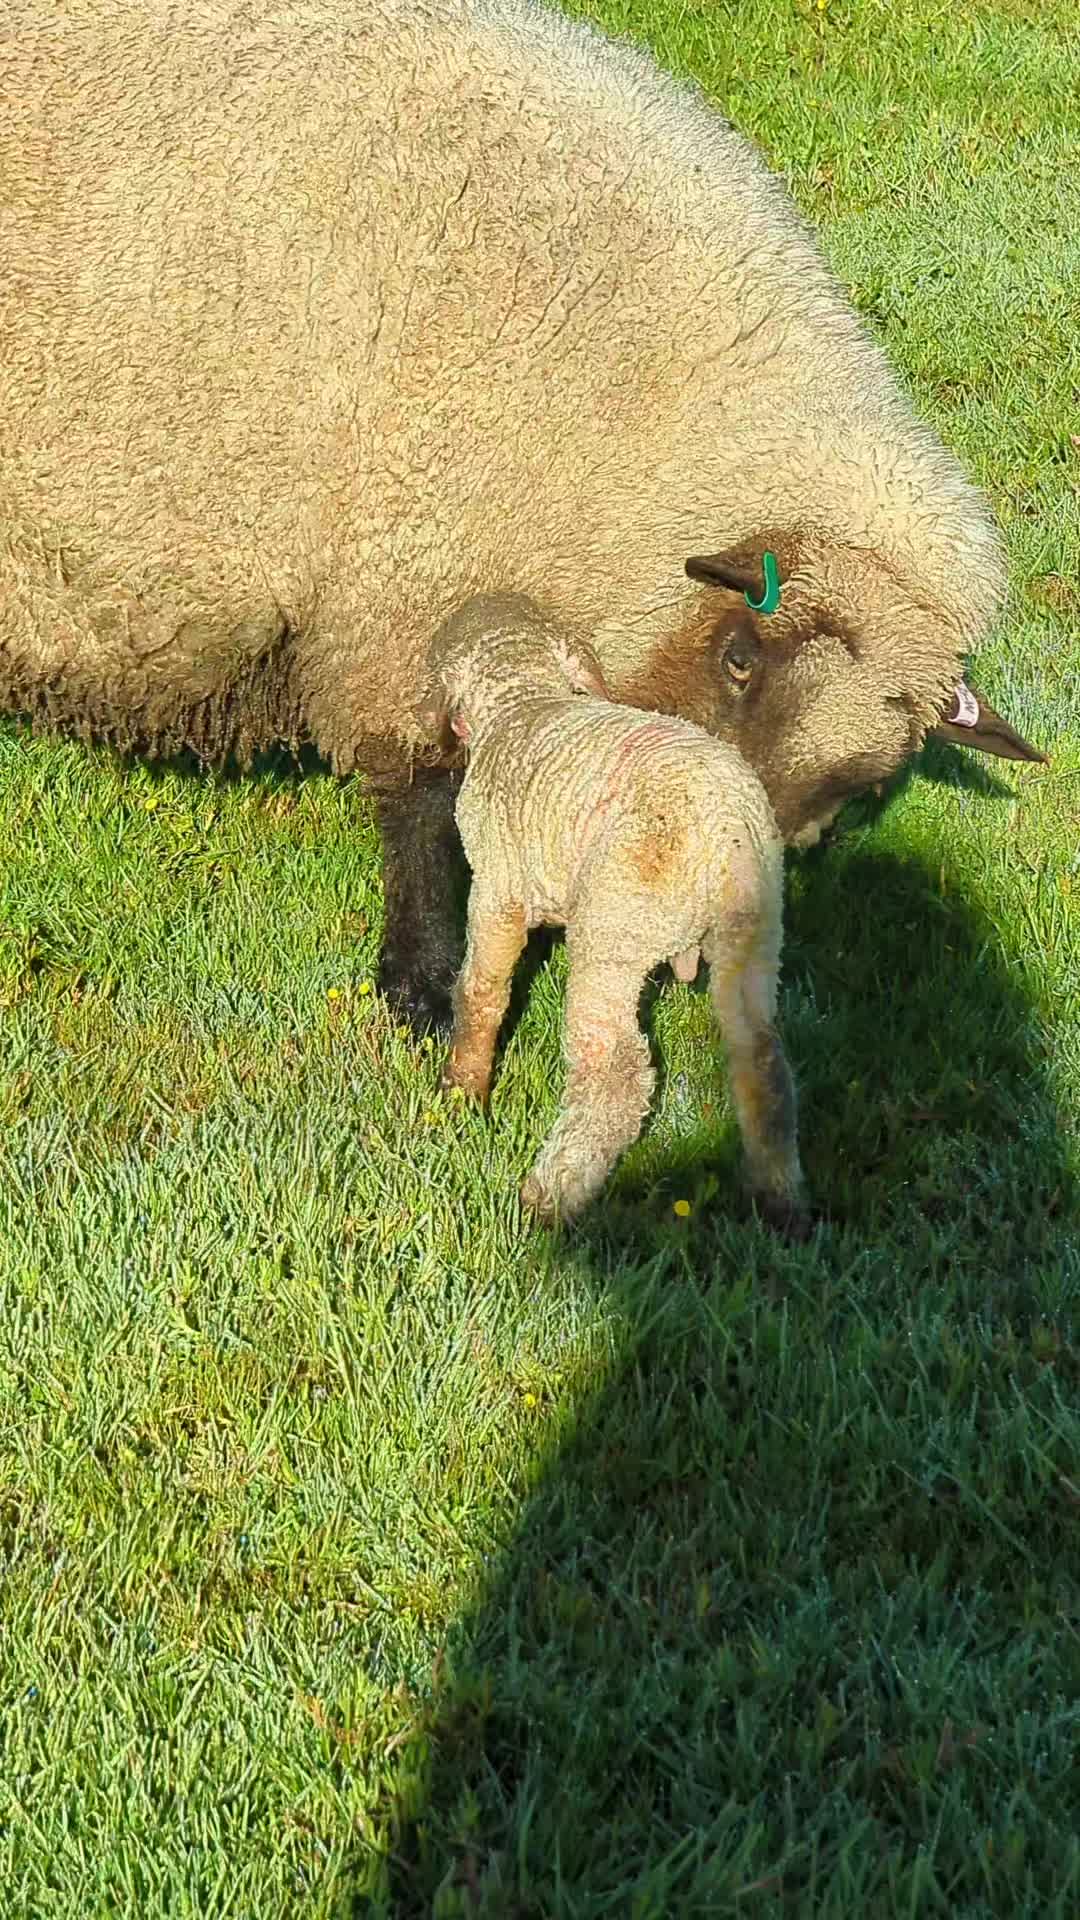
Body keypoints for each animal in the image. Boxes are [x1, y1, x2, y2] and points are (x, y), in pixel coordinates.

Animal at [423, 594, 809, 1237]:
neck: (522, 698)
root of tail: (722, 831)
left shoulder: (498, 889)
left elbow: (481, 994)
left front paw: (462, 1093)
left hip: (616, 922)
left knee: (615, 1072)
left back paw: (548, 1198)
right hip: (756, 928)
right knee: (760, 1054)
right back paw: (779, 1199)